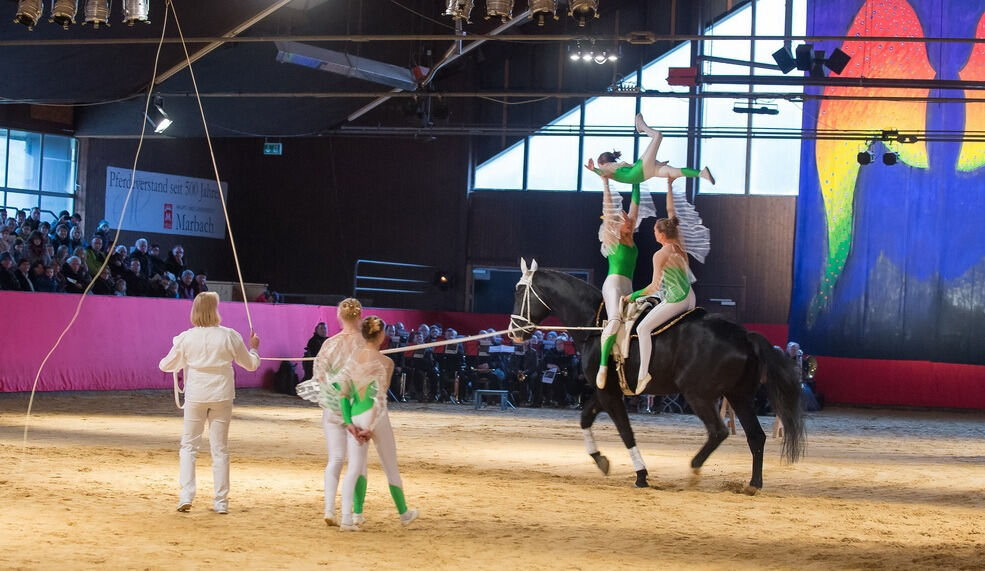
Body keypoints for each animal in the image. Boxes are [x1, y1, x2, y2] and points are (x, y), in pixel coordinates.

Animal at [512, 262, 804, 494]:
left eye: (519, 291)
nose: (514, 331)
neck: (597, 324)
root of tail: (743, 335)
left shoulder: (609, 394)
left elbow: (626, 433)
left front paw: (641, 476)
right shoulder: (606, 391)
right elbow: (585, 419)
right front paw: (601, 460)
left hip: (698, 395)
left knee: (719, 431)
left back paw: (694, 470)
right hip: (738, 396)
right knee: (756, 436)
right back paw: (753, 484)